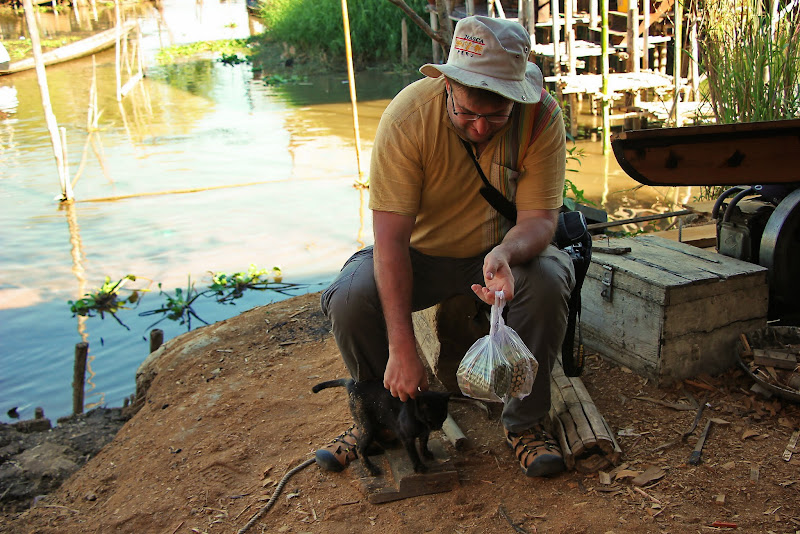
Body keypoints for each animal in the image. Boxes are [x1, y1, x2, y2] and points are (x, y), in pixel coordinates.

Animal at [312, 378, 450, 476]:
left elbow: (423, 444)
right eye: (430, 418)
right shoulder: (406, 437)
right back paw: (370, 469)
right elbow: (413, 453)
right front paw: (419, 467)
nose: (438, 426)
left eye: (443, 415)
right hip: (367, 426)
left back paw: (388, 445)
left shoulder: (424, 433)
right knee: (359, 447)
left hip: (375, 424)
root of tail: (352, 383)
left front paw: (426, 454)